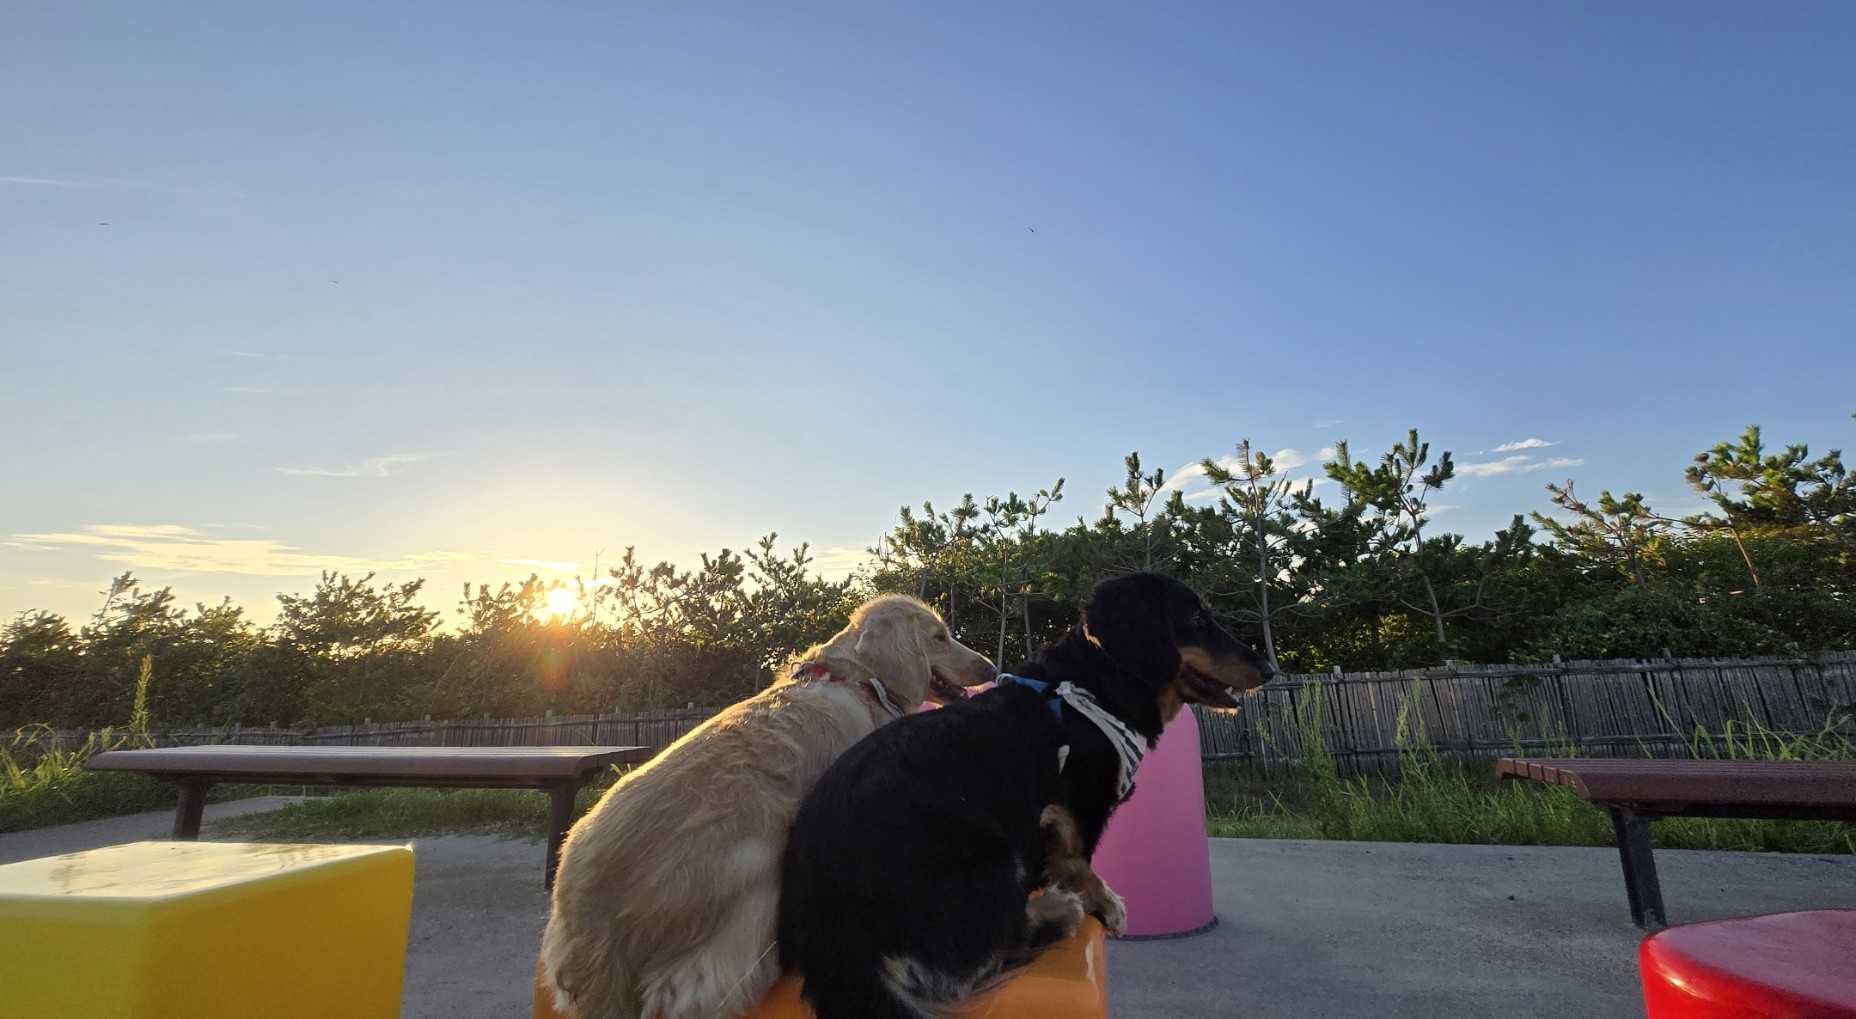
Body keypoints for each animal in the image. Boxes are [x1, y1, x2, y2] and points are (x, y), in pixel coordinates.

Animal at [777, 572, 1271, 1019]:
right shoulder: (1074, 806)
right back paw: (1059, 910)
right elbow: (1078, 861)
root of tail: (834, 935)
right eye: (1196, 617)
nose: (1269, 669)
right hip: (989, 852)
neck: (1088, 692)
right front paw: (1106, 904)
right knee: (987, 952)